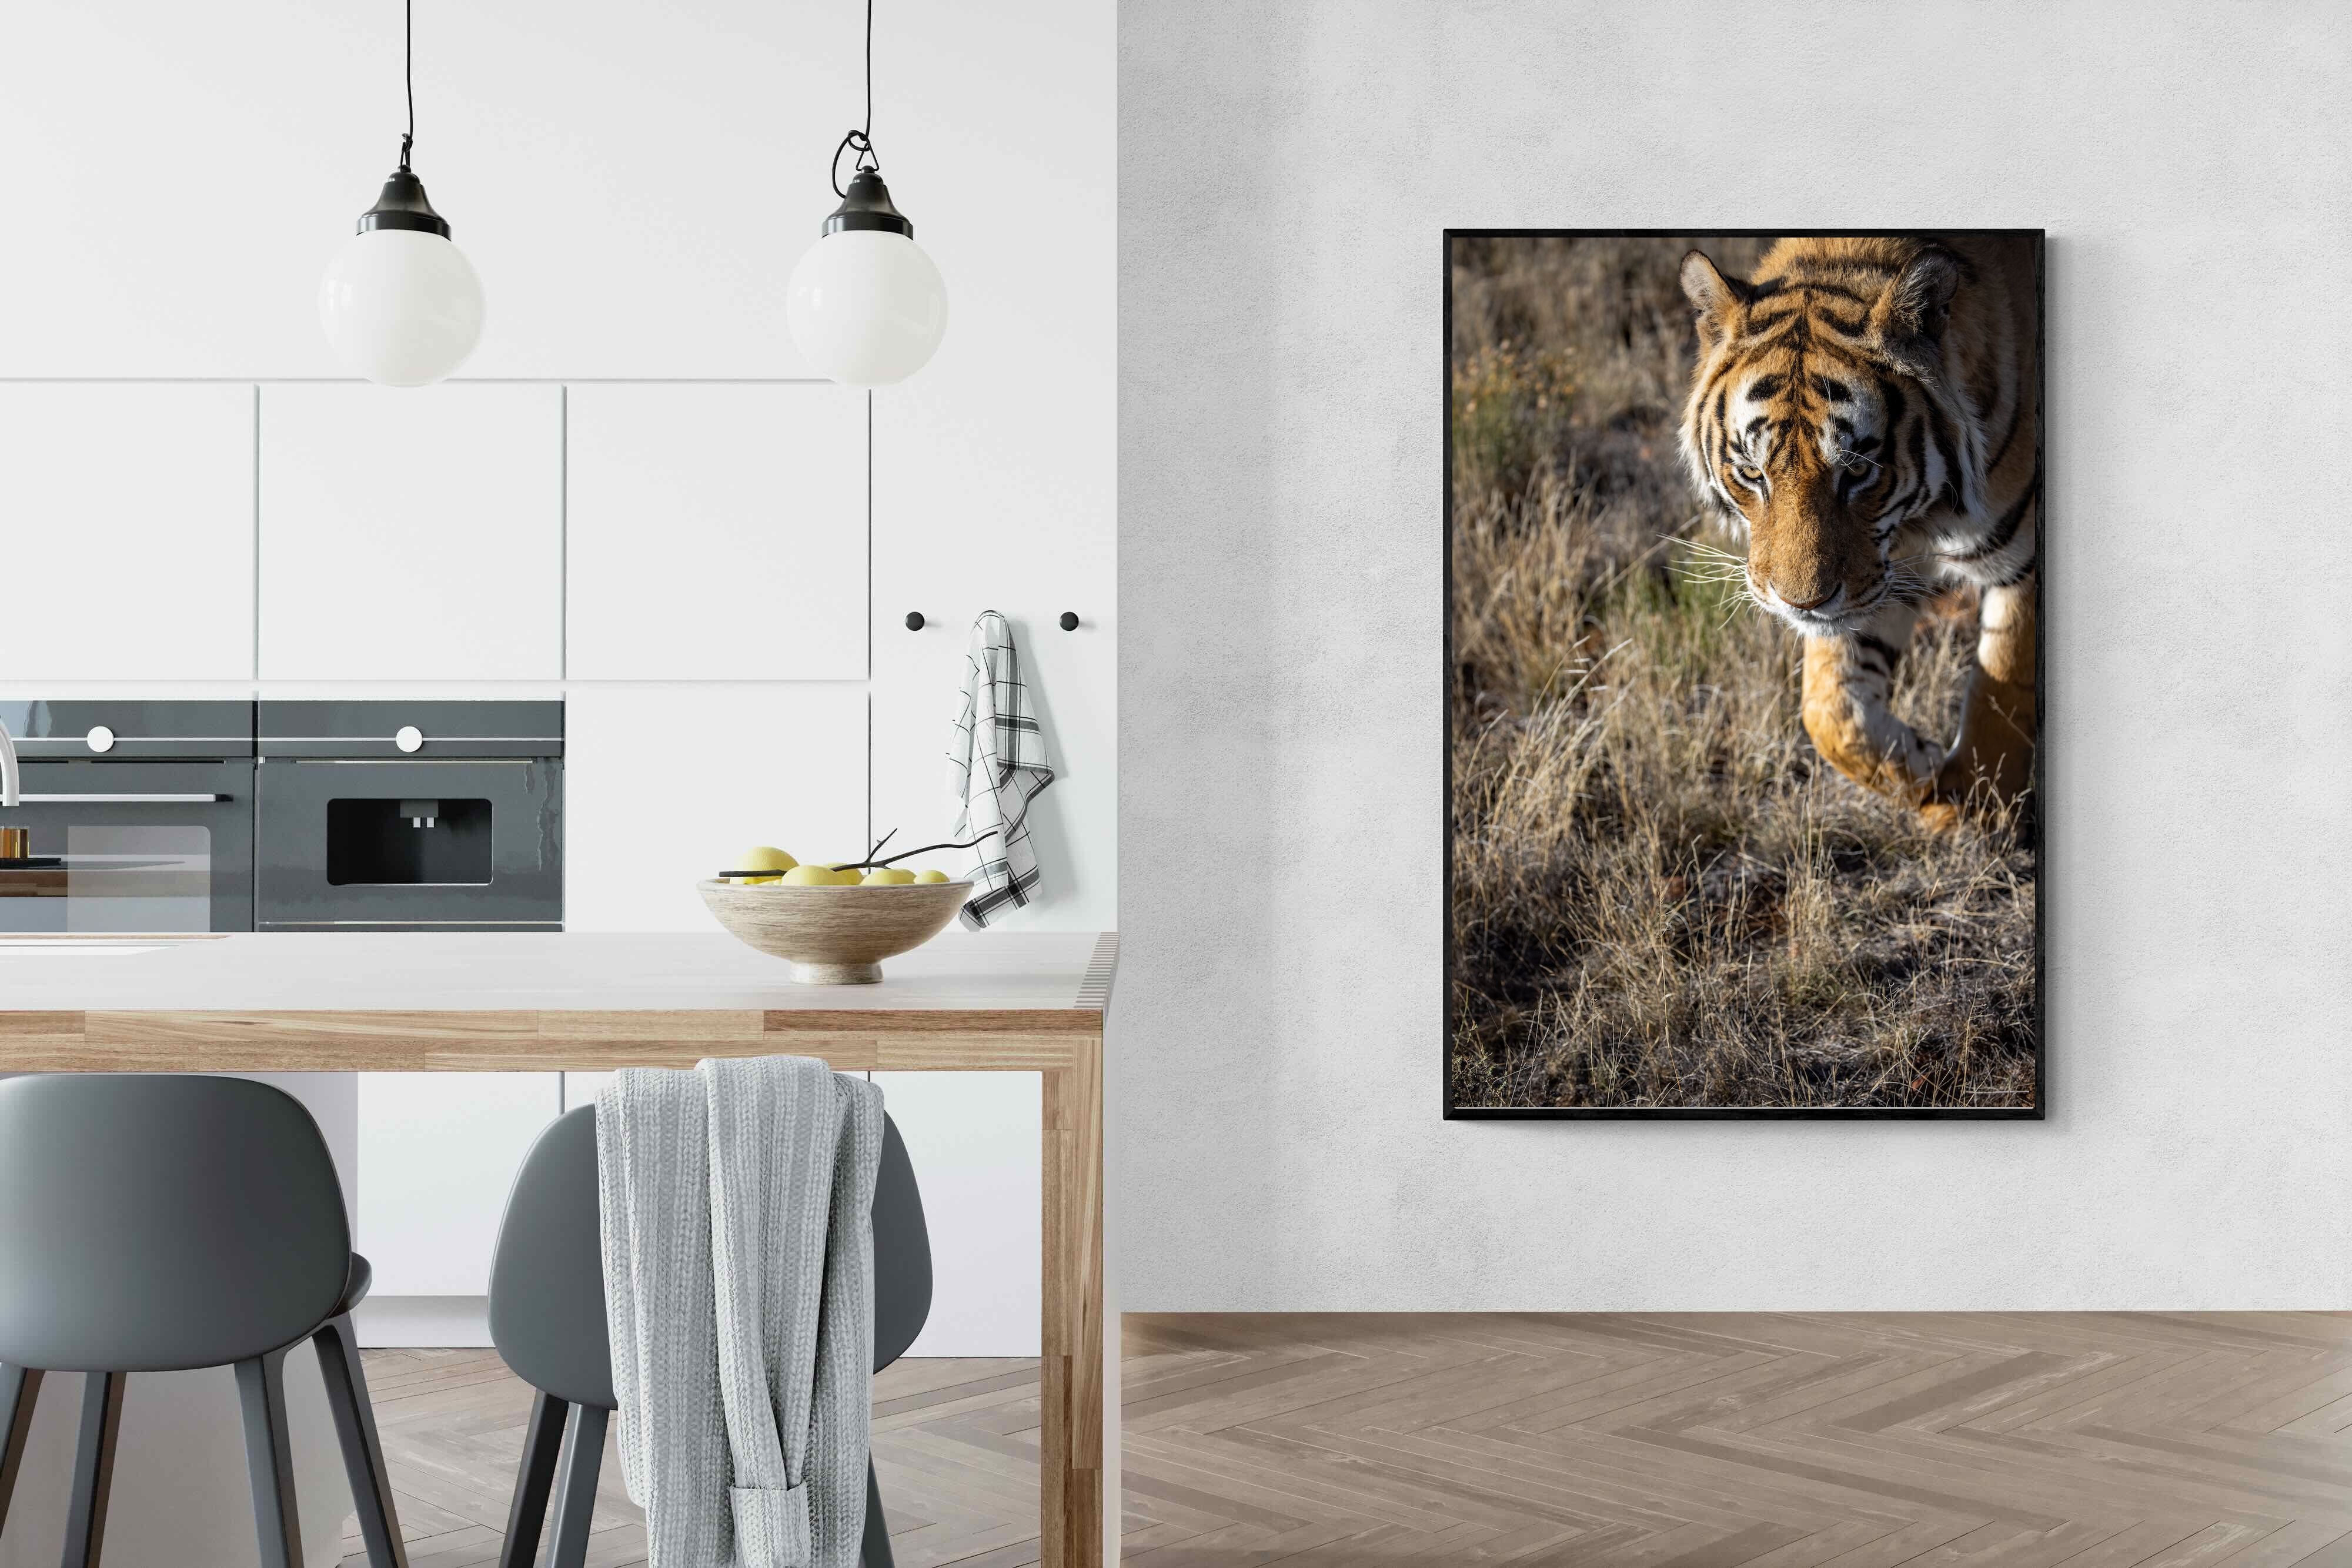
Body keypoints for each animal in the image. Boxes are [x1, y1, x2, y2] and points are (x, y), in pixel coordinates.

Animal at [1676, 234, 2038, 826]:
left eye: (1858, 469)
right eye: (1752, 472)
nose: (1800, 604)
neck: (1921, 521)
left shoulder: (2024, 561)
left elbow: (2001, 690)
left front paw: (1976, 811)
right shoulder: (1877, 577)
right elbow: (1830, 711)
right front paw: (1922, 767)